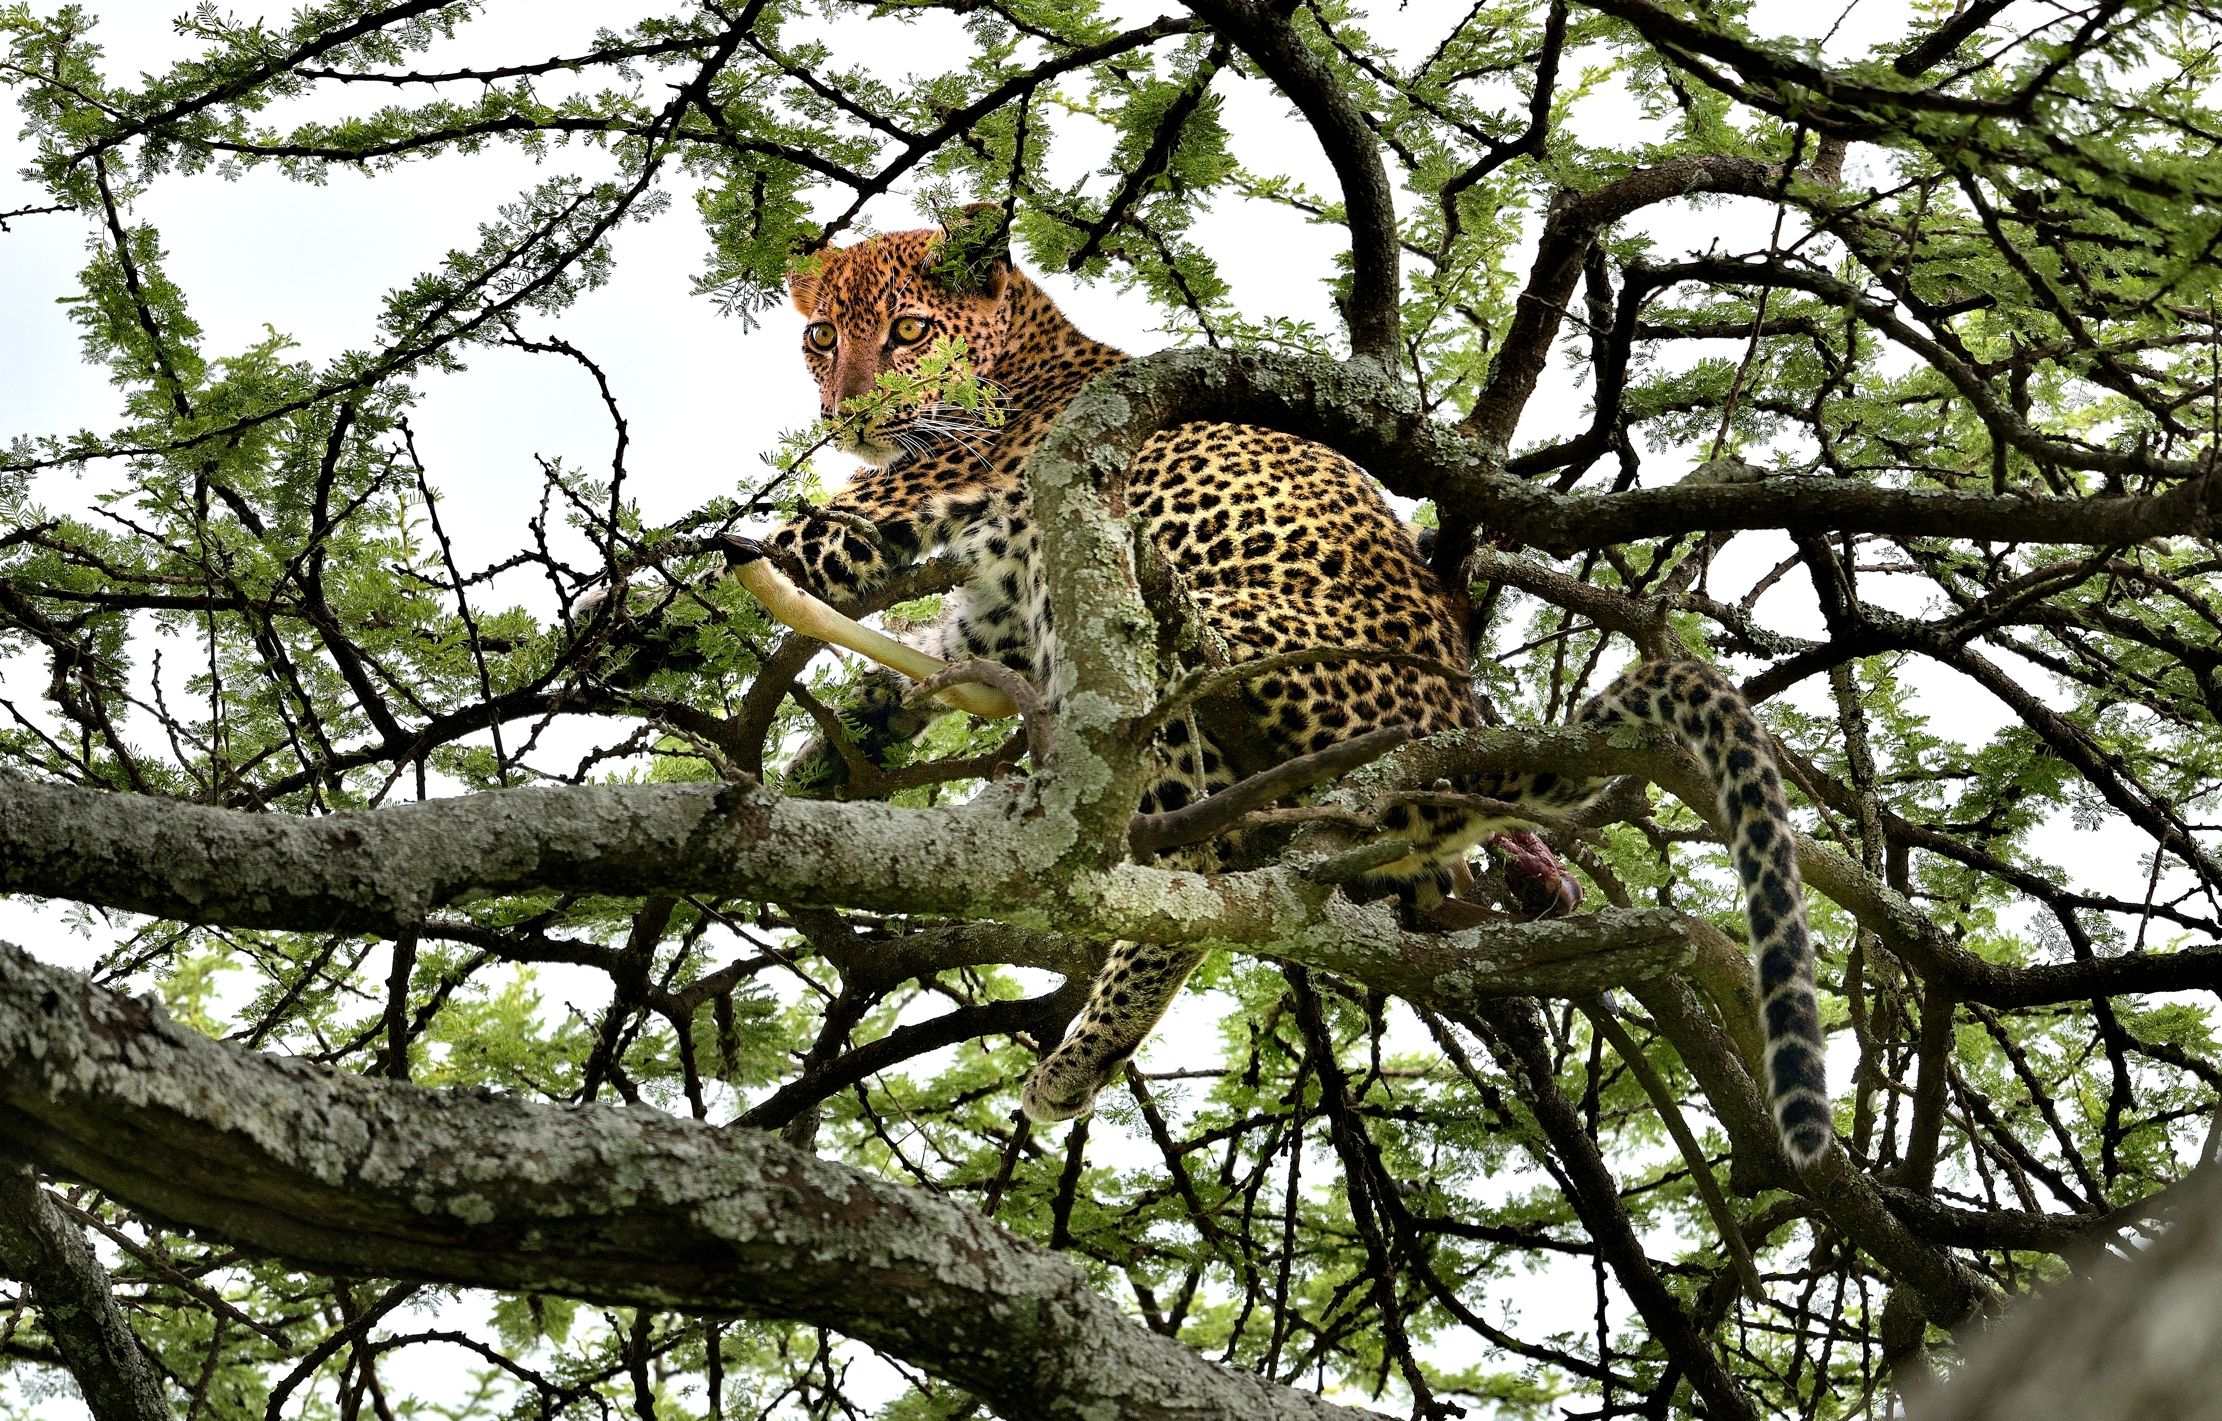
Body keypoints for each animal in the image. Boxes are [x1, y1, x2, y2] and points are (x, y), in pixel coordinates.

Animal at [740, 220, 1833, 1167]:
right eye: (823, 336)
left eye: (907, 330)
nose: (845, 415)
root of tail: (1457, 731)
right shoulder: (986, 613)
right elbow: (917, 660)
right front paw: (830, 749)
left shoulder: (899, 507)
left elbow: (751, 551)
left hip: (1195, 637)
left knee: (1189, 857)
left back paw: (1072, 1014)